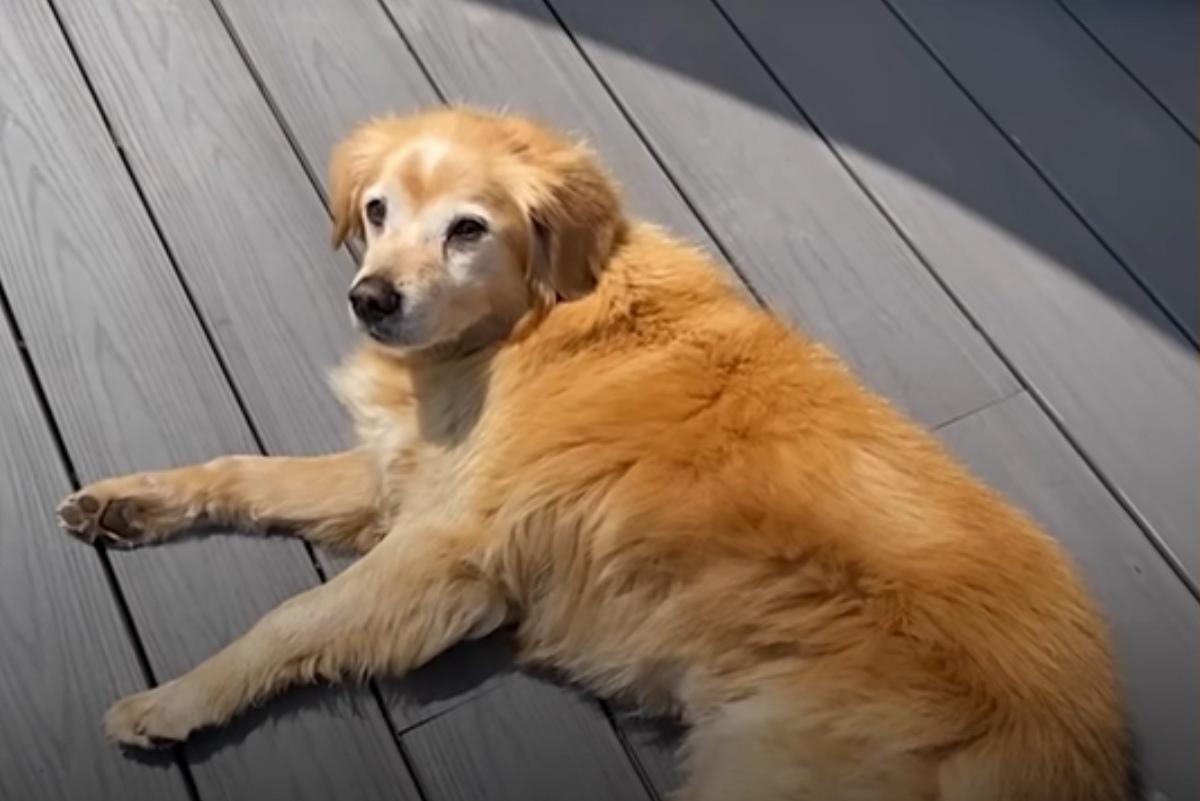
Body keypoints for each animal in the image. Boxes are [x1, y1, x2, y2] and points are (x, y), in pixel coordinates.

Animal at [56, 107, 1123, 801]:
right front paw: (128, 500)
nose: (371, 298)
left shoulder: (446, 555)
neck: (527, 325)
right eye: (377, 210)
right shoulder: (401, 483)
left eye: (468, 229)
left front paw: (176, 698)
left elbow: (289, 620)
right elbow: (242, 470)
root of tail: (1081, 741)